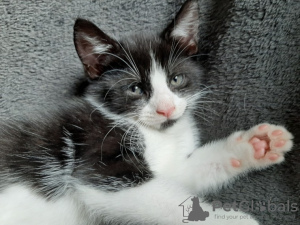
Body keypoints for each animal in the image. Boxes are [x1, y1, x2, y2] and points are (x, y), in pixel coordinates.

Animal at [0, 0, 292, 225]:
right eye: (135, 88)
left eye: (176, 79)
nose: (166, 109)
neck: (155, 133)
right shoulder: (97, 156)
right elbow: (163, 200)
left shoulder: (166, 166)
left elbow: (183, 174)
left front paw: (257, 144)